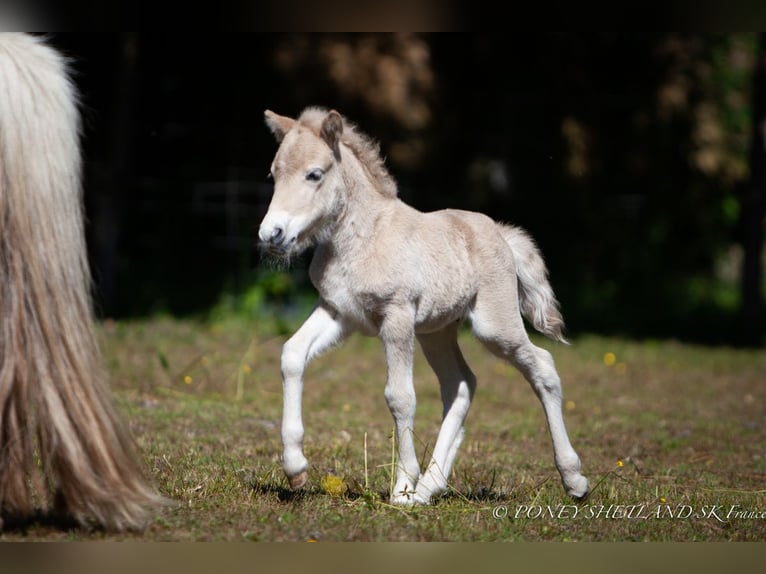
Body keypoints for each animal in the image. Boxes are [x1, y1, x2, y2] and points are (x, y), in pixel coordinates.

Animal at [260, 107, 592, 504]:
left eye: (314, 174)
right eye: (273, 174)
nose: (272, 235)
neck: (363, 238)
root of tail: (499, 232)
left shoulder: (396, 316)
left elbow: (400, 396)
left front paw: (403, 487)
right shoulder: (338, 312)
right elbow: (292, 354)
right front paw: (295, 467)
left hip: (495, 325)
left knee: (542, 367)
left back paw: (574, 480)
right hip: (437, 331)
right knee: (460, 384)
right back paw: (431, 486)